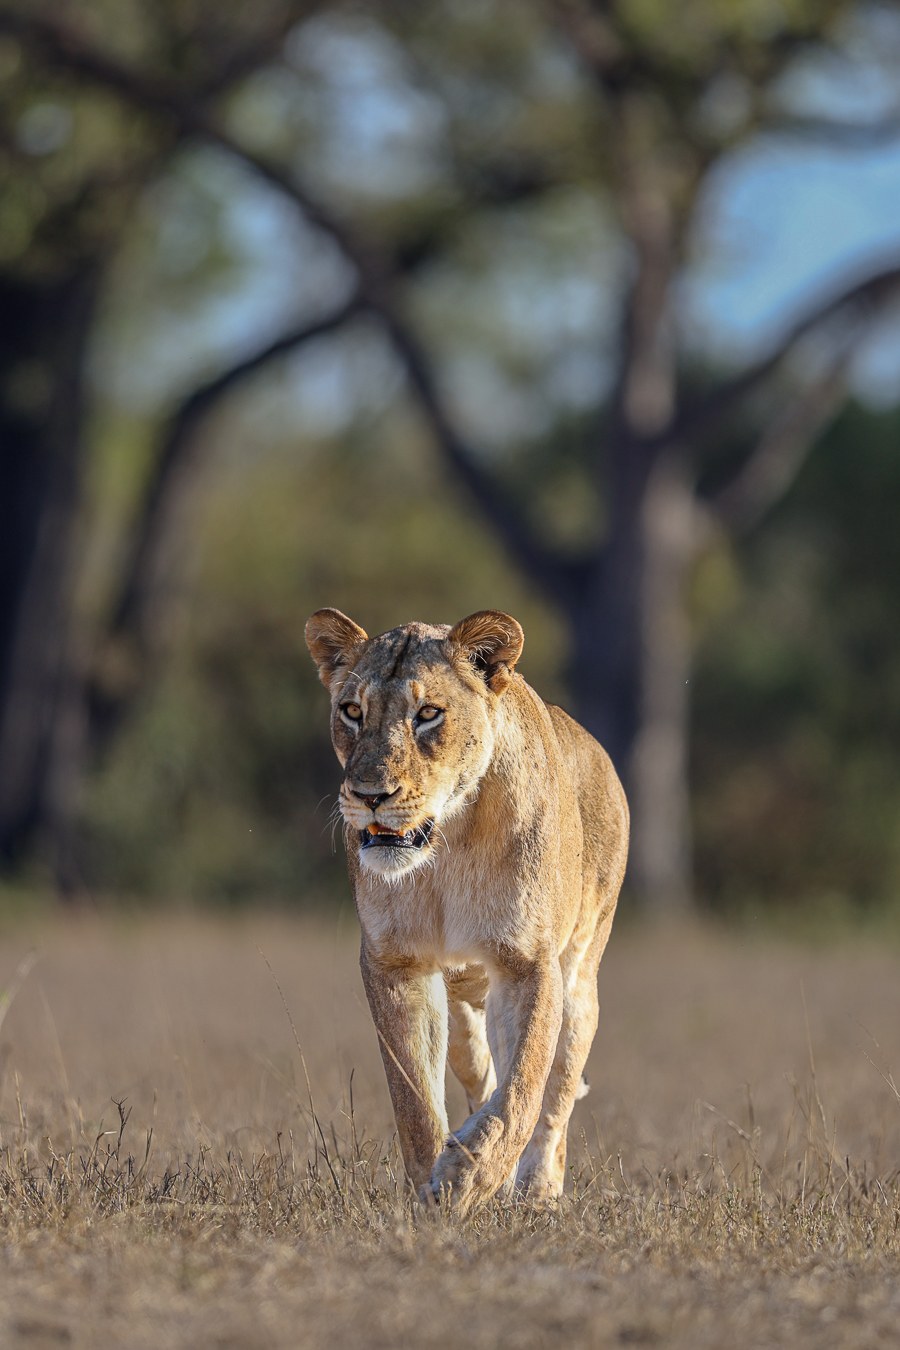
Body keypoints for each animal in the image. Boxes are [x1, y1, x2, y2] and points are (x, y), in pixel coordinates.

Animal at [305, 607, 628, 1213]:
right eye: (352, 711)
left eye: (428, 714)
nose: (369, 795)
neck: (446, 848)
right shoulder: (397, 965)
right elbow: (413, 1097)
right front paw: (436, 1186)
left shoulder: (527, 964)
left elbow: (524, 1089)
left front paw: (468, 1179)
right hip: (460, 1016)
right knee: (482, 1073)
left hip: (578, 985)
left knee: (555, 1093)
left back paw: (537, 1188)